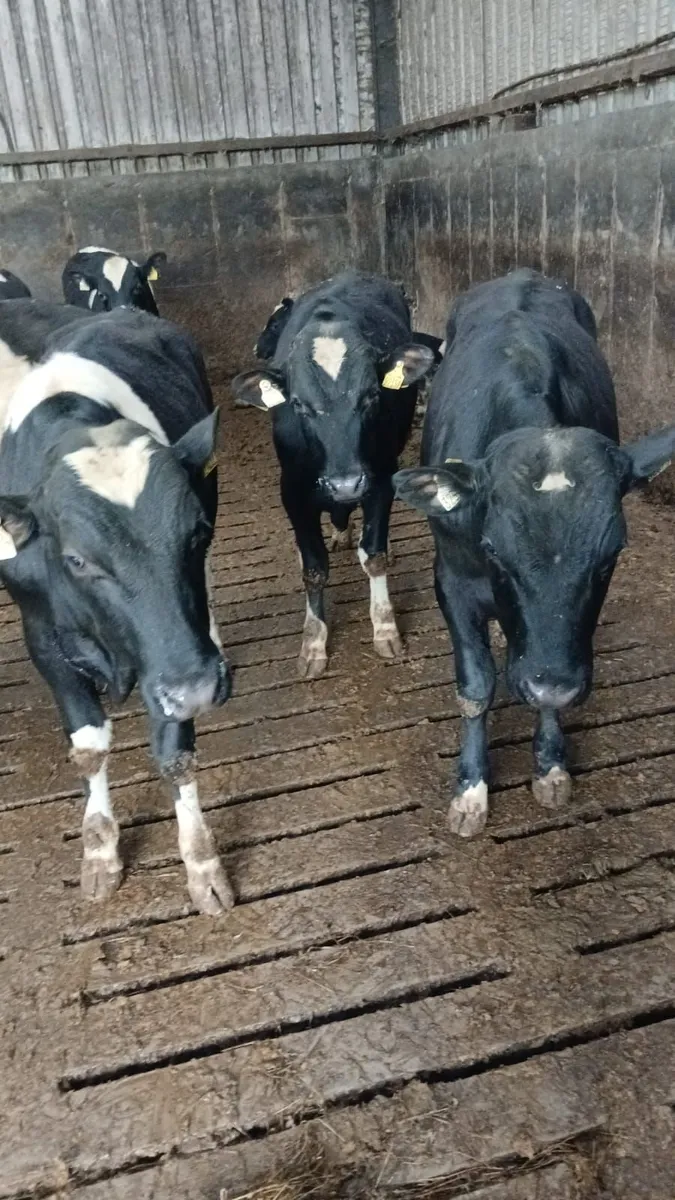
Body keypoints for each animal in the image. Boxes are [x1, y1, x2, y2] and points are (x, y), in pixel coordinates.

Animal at [0, 301, 233, 914]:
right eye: (77, 560)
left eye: (196, 532)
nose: (201, 686)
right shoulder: (43, 635)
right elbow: (89, 748)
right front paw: (99, 850)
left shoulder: (170, 657)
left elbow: (175, 754)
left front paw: (203, 866)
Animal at [232, 271, 437, 678]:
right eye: (298, 405)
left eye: (372, 396)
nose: (345, 483)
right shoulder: (292, 490)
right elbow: (314, 569)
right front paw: (313, 643)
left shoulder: (380, 480)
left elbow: (373, 555)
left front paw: (385, 627)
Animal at [393, 269, 675, 837]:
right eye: (492, 548)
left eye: (611, 554)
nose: (549, 685)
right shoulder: (451, 581)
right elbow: (475, 685)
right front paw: (471, 790)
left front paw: (549, 763)